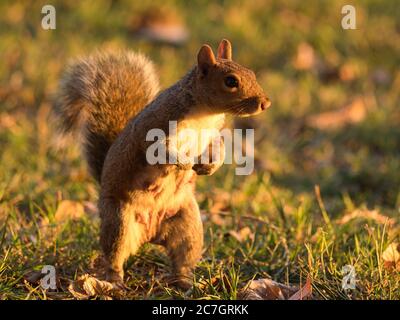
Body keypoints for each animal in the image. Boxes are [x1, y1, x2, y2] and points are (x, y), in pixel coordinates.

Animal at [53, 38, 270, 288]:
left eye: (251, 73)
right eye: (231, 81)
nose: (266, 103)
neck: (205, 114)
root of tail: (151, 233)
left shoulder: (213, 134)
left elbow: (218, 148)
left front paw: (209, 166)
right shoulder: (156, 129)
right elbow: (162, 151)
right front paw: (185, 163)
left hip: (187, 225)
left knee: (183, 256)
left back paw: (185, 282)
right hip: (119, 221)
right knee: (115, 254)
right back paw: (115, 280)